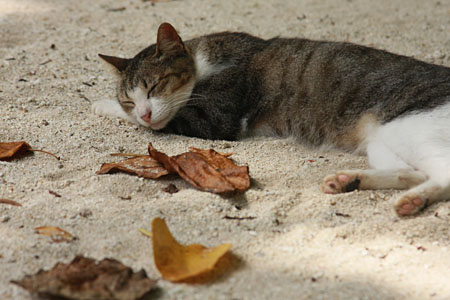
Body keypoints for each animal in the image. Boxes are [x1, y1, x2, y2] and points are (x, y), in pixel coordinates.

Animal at [92, 22, 450, 216]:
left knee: (441, 174)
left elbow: (170, 120)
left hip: (410, 125)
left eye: (155, 85)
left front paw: (102, 104)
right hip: (382, 139)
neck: (203, 60)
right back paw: (348, 181)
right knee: (411, 172)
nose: (143, 110)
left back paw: (411, 201)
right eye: (130, 98)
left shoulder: (216, 119)